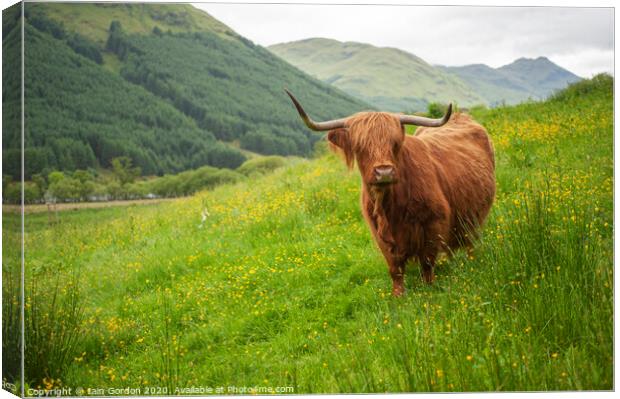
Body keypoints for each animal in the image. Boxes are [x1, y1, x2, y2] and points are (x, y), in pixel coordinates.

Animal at [286, 90, 494, 296]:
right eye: (360, 147)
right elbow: (395, 268)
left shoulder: (433, 223)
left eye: (394, 143)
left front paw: (429, 289)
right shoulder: (380, 234)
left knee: (470, 240)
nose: (384, 171)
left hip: (474, 218)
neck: (390, 205)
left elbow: (427, 262)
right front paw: (398, 295)